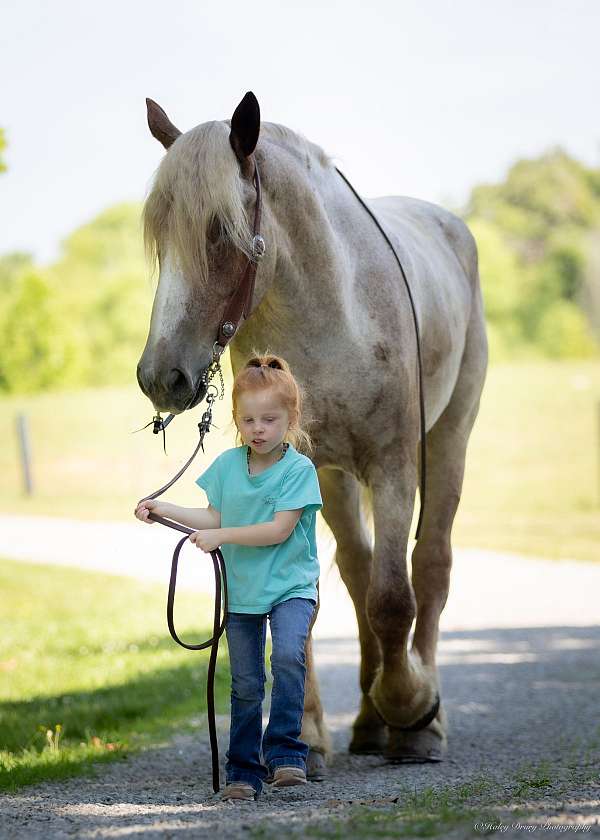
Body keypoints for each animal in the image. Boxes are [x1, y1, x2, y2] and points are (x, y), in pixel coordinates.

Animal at [138, 90, 490, 776]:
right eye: (161, 235)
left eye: (218, 230)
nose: (160, 376)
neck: (338, 313)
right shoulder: (305, 467)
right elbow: (308, 598)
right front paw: (307, 735)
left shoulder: (393, 465)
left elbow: (394, 599)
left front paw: (412, 710)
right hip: (337, 475)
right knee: (356, 571)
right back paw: (371, 721)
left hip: (449, 439)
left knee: (428, 567)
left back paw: (418, 719)